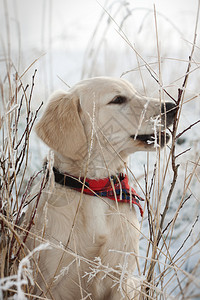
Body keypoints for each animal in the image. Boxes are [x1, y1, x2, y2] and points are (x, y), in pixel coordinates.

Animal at [24, 77, 175, 298]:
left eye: (136, 93)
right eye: (118, 99)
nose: (172, 107)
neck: (96, 188)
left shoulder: (121, 279)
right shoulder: (48, 283)